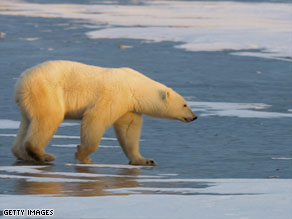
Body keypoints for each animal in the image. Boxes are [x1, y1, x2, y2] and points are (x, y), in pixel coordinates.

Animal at [12, 60, 197, 164]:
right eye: (185, 105)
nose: (194, 117)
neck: (134, 87)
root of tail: (21, 81)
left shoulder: (129, 106)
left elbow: (129, 130)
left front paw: (145, 160)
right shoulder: (114, 95)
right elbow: (95, 119)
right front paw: (83, 155)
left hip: (29, 100)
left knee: (28, 122)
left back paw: (23, 154)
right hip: (47, 91)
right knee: (49, 118)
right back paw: (44, 155)